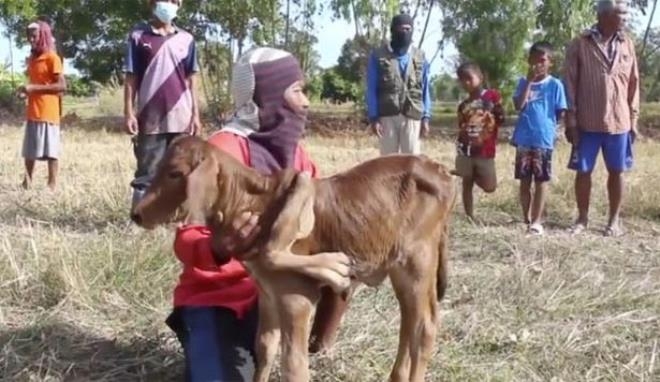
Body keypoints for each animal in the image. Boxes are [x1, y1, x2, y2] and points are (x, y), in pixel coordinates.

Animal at [131, 136, 456, 380]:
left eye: (175, 172)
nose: (137, 214)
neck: (254, 203)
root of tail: (438, 169)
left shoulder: (295, 298)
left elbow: (294, 366)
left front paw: (334, 268)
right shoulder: (268, 295)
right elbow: (264, 348)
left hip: (418, 261)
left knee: (425, 326)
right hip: (402, 270)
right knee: (409, 323)